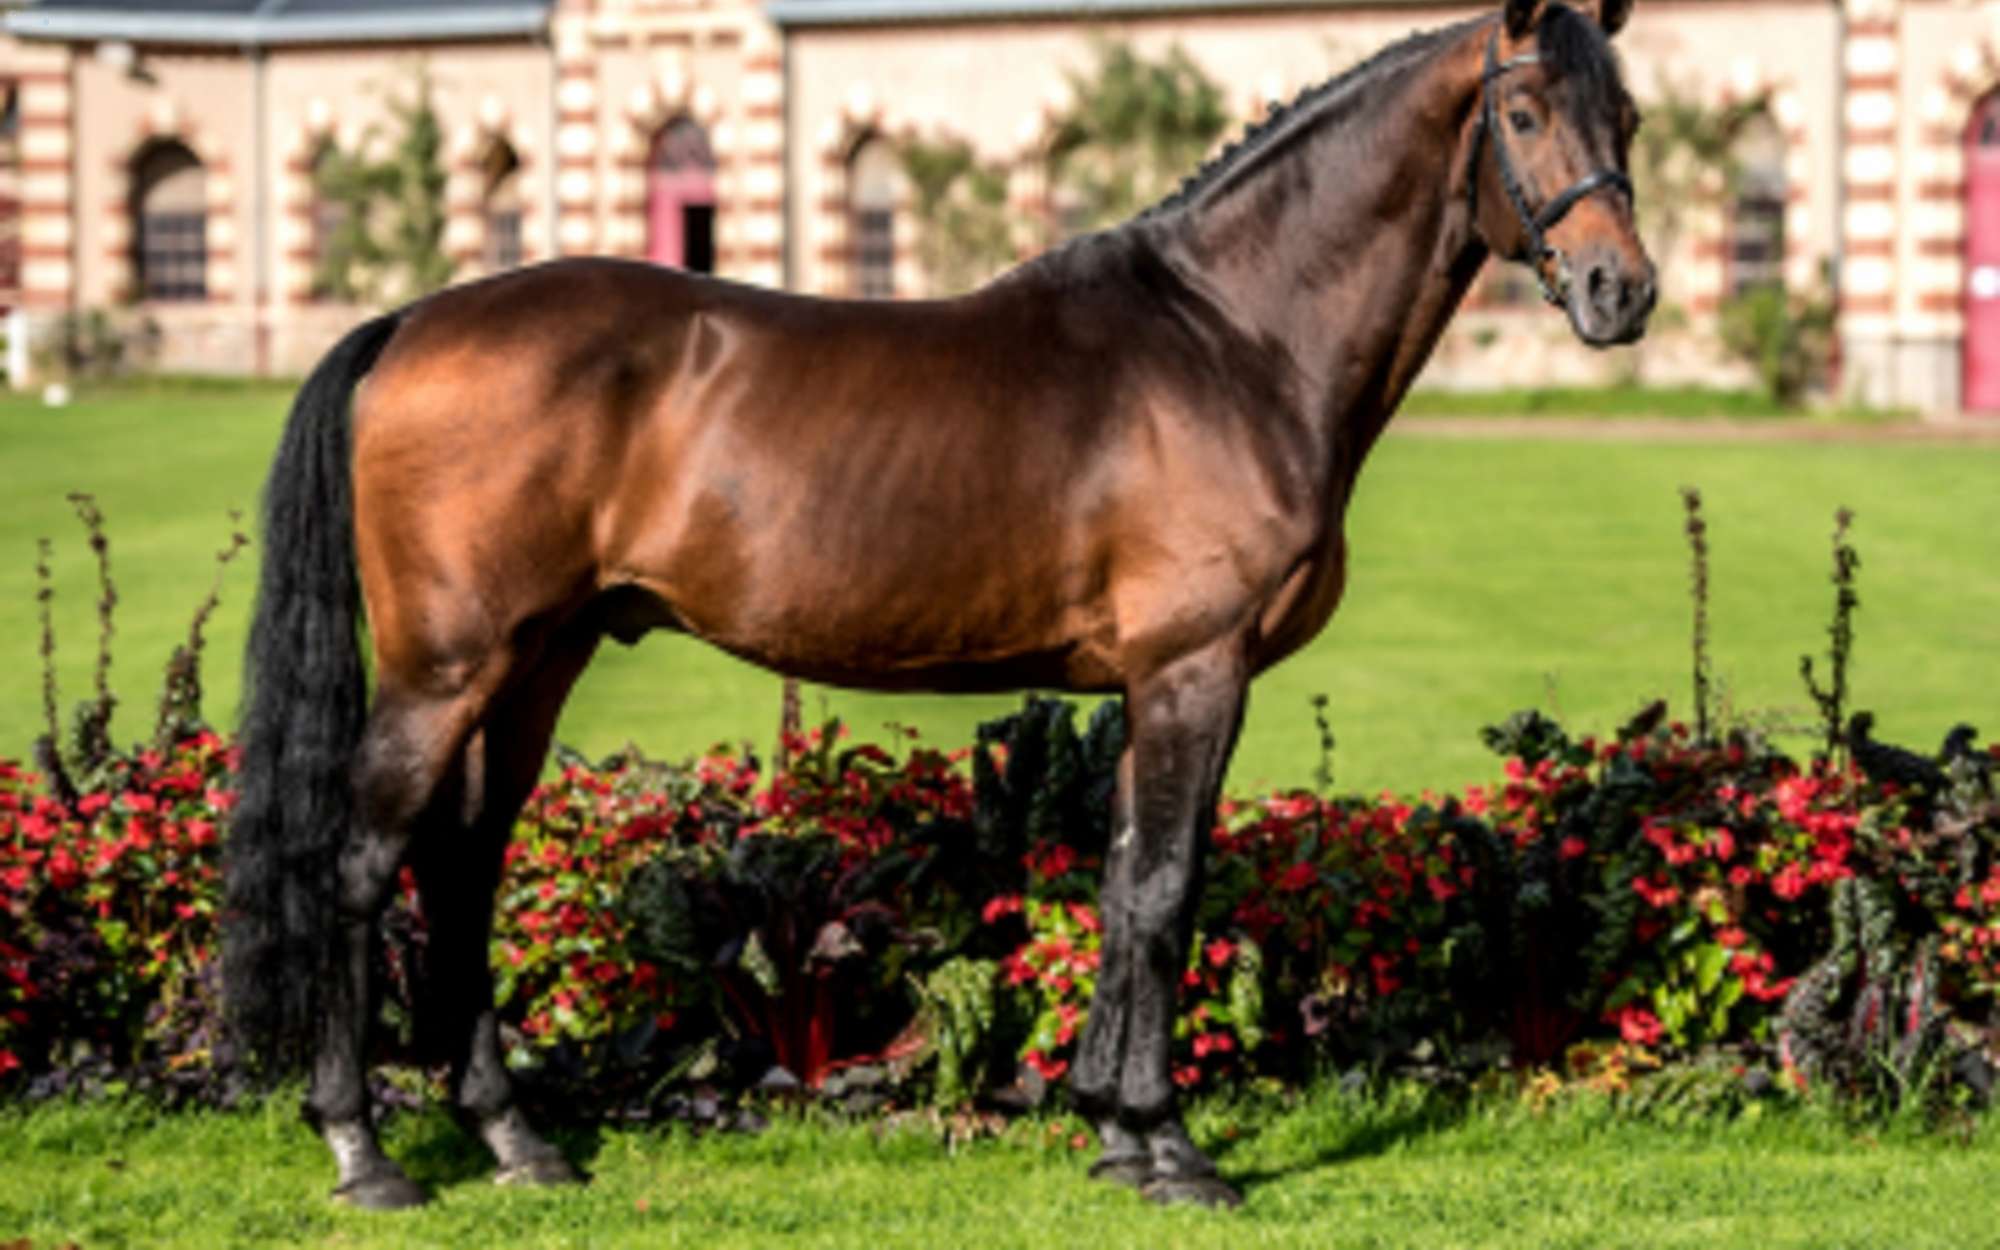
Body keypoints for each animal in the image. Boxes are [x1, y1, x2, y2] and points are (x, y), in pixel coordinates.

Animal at [223, 0, 1656, 1208]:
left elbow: (1124, 882)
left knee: (463, 861)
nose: (1619, 292)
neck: (1232, 339)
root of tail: (410, 322)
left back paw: (514, 1138)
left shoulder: (1147, 681)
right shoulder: (1195, 669)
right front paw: (1172, 1147)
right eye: (1525, 111)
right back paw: (362, 1150)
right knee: (362, 861)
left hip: (534, 661)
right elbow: (1166, 889)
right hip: (444, 668)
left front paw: (1112, 1128)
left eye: (1630, 117)